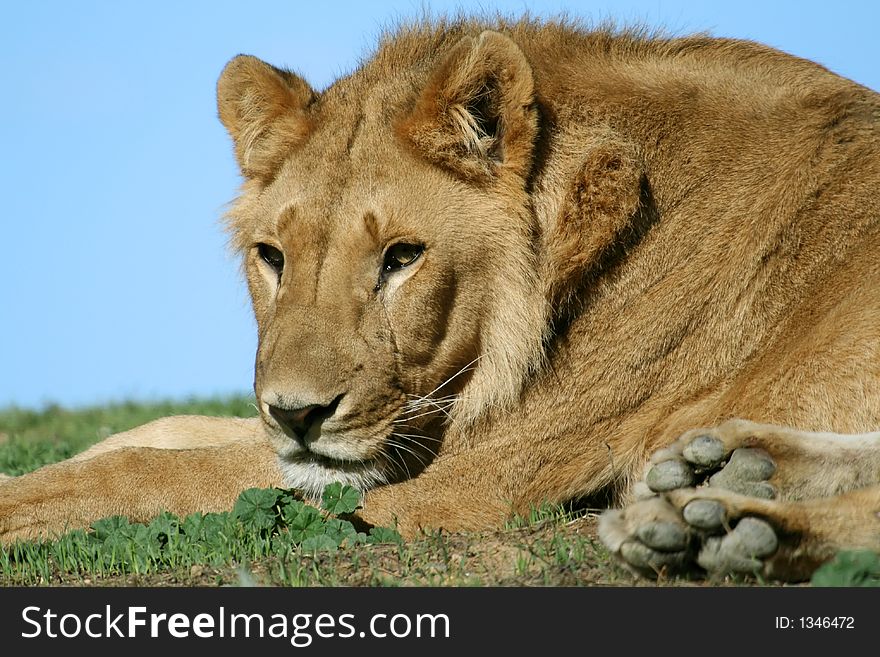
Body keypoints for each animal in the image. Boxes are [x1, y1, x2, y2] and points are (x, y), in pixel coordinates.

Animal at [1, 16, 880, 580]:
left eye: (402, 257)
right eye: (272, 256)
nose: (298, 414)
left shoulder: (473, 477)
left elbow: (149, 472)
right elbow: (161, 431)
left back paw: (718, 530)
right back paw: (724, 470)